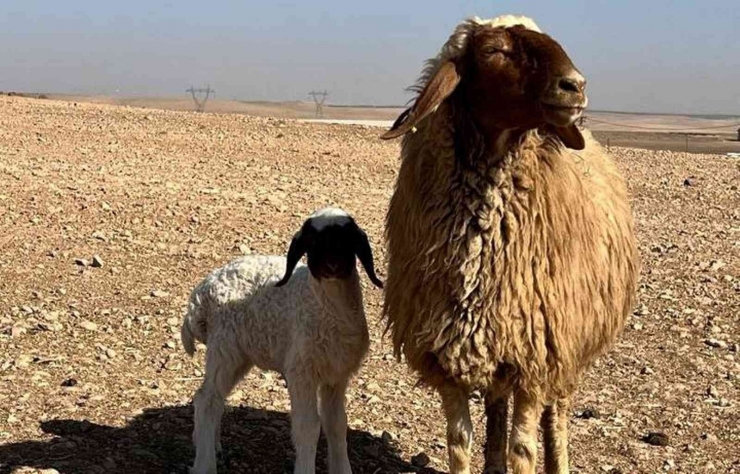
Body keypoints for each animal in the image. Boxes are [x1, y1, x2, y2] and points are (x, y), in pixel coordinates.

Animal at [182, 207, 384, 474]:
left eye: (348, 238)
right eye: (311, 240)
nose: (332, 264)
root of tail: (201, 294)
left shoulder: (336, 375)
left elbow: (337, 424)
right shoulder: (301, 372)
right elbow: (308, 427)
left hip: (240, 356)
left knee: (214, 398)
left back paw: (209, 445)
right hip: (225, 348)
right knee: (207, 400)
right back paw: (205, 464)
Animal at [378, 13, 640, 474]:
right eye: (493, 50)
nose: (576, 85)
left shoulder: (538, 358)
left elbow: (524, 450)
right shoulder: (448, 356)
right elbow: (459, 442)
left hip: (563, 351)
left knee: (558, 414)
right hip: (498, 346)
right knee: (497, 406)